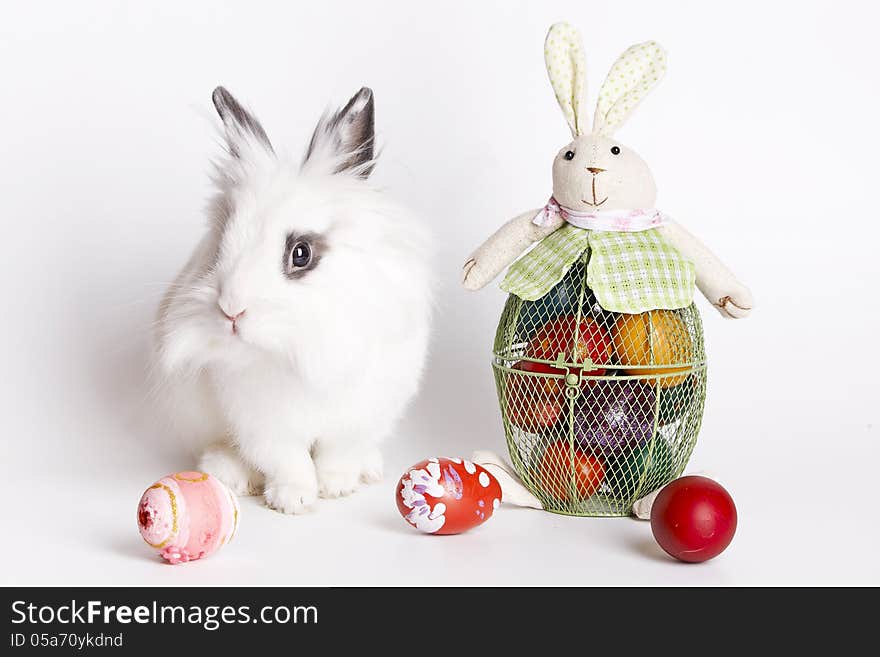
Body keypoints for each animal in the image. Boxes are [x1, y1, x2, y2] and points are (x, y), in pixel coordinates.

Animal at [153, 86, 432, 512]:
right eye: (219, 247)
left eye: (301, 253)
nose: (231, 311)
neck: (300, 351)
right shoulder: (261, 421)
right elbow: (286, 459)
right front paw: (294, 499)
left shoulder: (360, 411)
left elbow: (338, 452)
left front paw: (337, 486)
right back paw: (233, 475)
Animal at [464, 26, 752, 320]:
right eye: (570, 155)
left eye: (615, 150)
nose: (594, 168)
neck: (600, 220)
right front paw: (472, 268)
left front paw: (734, 299)